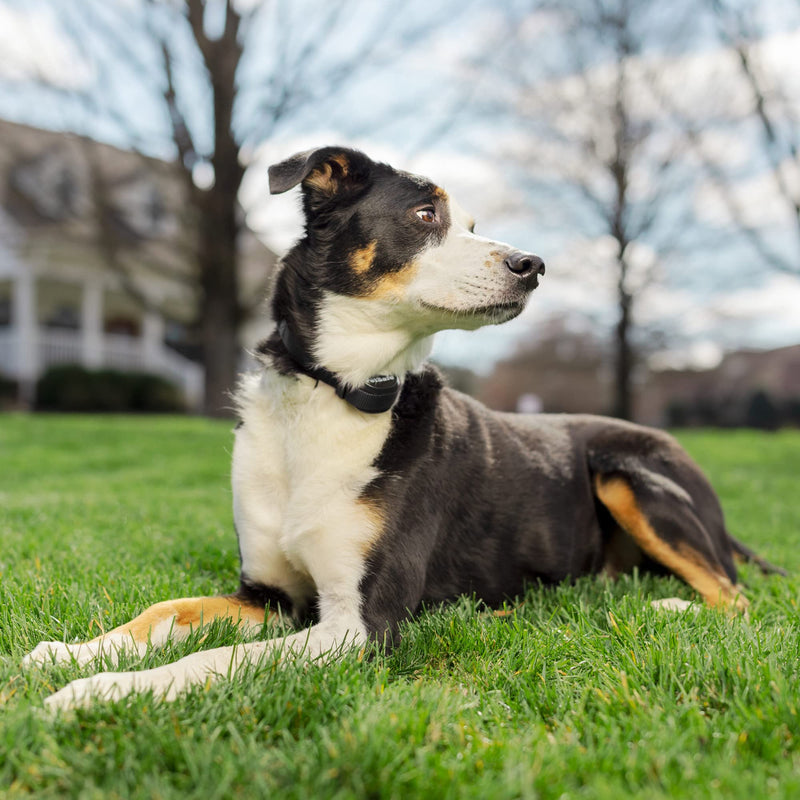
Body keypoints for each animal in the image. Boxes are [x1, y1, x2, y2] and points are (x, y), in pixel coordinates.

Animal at [21, 145, 784, 708]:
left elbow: (214, 660)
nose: (533, 265)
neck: (334, 393)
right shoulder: (268, 596)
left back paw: (665, 607)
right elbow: (165, 613)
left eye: (471, 225)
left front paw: (98, 690)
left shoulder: (358, 626)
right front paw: (70, 653)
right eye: (424, 214)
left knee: (737, 598)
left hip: (623, 469)